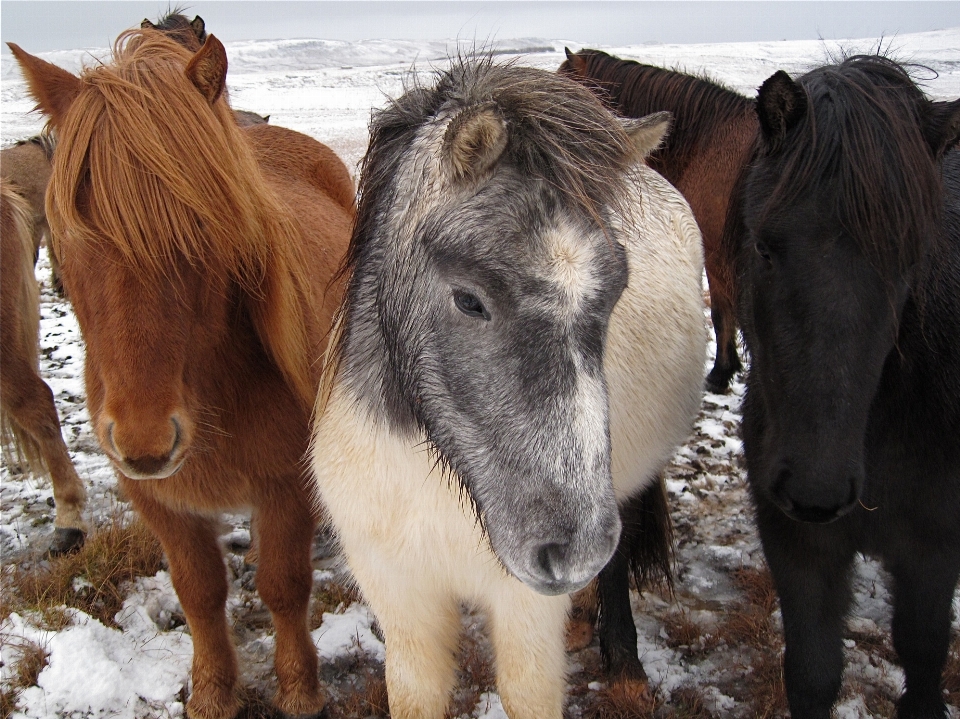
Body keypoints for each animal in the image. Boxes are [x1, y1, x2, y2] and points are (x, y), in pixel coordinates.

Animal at [10, 29, 356, 719]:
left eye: (202, 225)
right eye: (66, 232)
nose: (144, 441)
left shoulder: (286, 485)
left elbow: (284, 586)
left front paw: (300, 690)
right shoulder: (160, 499)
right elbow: (198, 593)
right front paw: (212, 695)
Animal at [740, 56, 956, 719]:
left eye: (910, 258)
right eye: (764, 248)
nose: (817, 490)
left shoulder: (932, 550)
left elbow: (923, 651)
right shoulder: (798, 543)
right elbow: (813, 672)